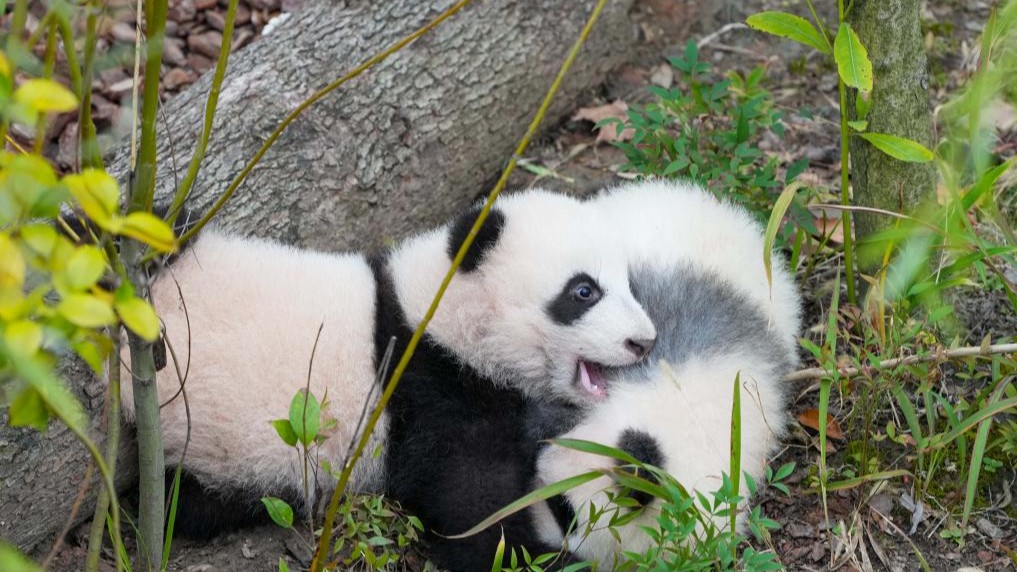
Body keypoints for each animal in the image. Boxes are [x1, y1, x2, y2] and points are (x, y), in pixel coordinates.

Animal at [118, 188, 658, 541]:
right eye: (584, 292)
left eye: (629, 284)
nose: (644, 341)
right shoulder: (429, 386)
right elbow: (471, 502)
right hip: (204, 435)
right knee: (182, 502)